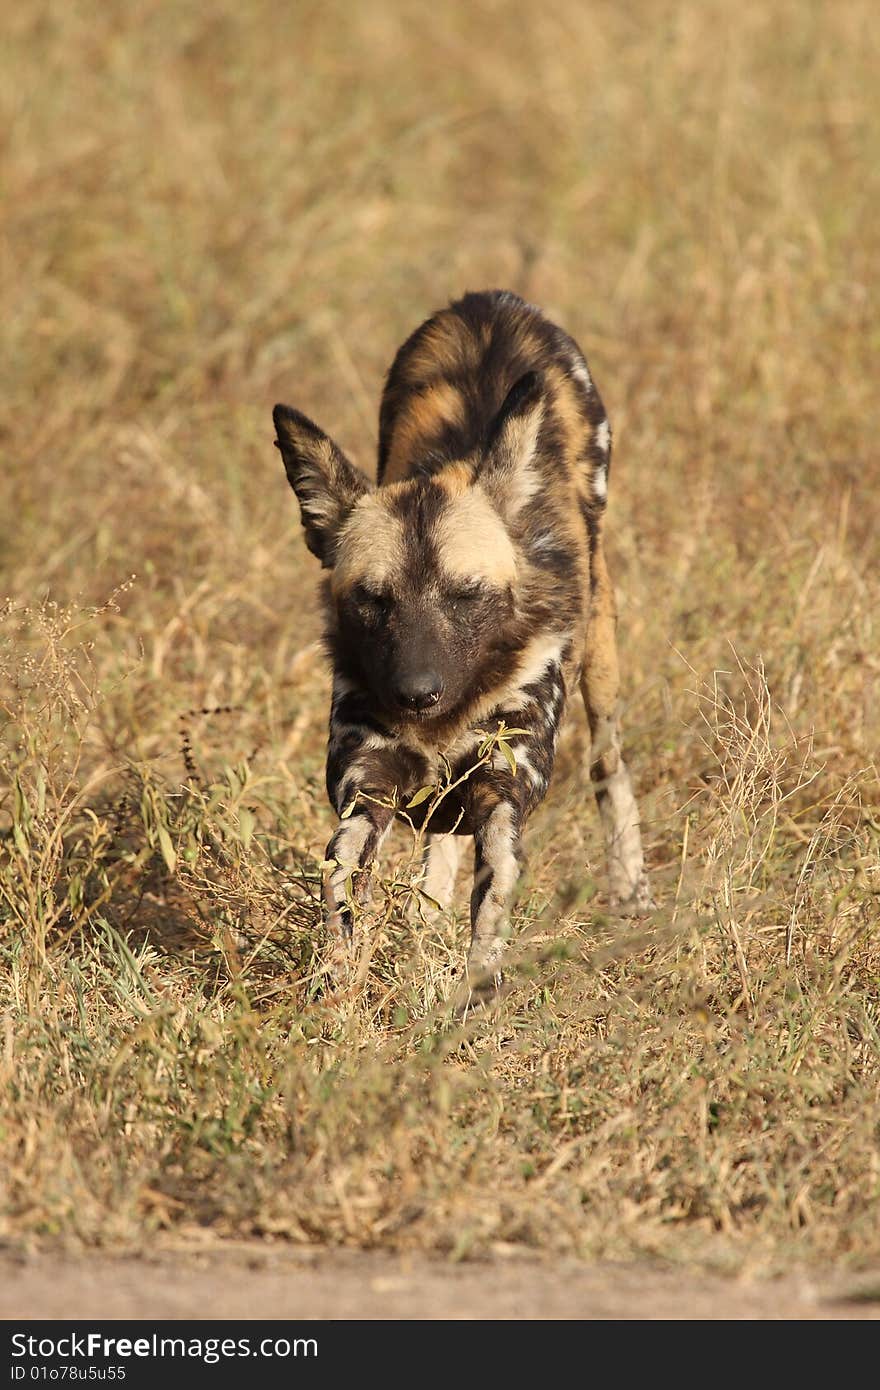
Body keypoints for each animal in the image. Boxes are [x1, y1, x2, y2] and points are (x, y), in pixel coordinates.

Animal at [275, 290, 653, 1000]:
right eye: (373, 599)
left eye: (466, 594)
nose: (417, 694)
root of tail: (491, 301)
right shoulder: (365, 790)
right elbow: (341, 888)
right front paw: (339, 998)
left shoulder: (505, 797)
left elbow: (490, 918)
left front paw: (470, 1008)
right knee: (437, 844)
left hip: (602, 663)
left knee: (609, 767)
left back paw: (632, 892)